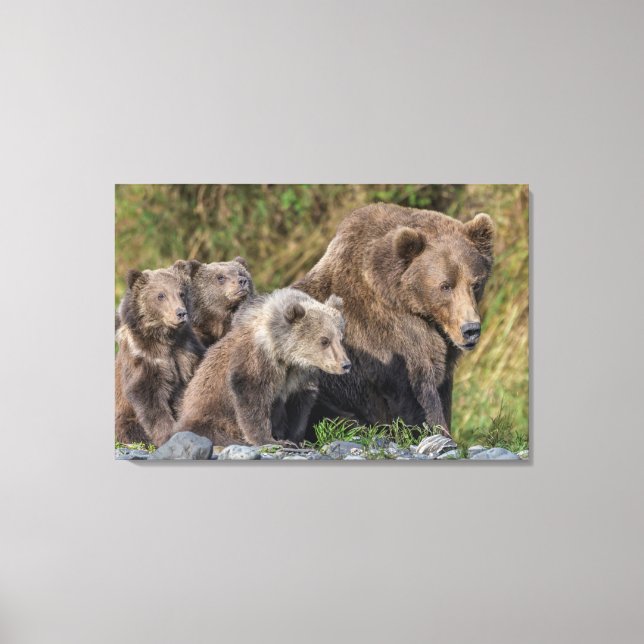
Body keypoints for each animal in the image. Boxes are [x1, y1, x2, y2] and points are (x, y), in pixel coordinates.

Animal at [115, 267, 205, 447]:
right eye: (161, 295)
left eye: (181, 293)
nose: (181, 313)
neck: (165, 337)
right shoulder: (144, 358)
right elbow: (149, 397)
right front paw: (167, 434)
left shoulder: (187, 351)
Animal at [175, 288, 350, 446]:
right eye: (324, 340)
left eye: (340, 338)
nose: (346, 364)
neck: (284, 354)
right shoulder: (257, 360)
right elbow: (252, 397)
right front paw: (270, 439)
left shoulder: (299, 376)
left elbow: (299, 406)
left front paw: (295, 439)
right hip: (209, 416)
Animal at [293, 202, 495, 438]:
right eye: (445, 285)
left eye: (476, 283)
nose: (471, 329)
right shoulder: (390, 337)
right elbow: (418, 393)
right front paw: (439, 432)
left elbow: (443, 389)